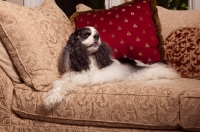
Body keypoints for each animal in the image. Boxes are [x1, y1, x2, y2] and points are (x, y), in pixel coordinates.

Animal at [43, 26, 180, 110]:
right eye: (87, 34)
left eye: (97, 34)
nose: (97, 37)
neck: (88, 58)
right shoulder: (70, 76)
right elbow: (59, 85)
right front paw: (51, 96)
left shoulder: (85, 78)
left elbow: (66, 86)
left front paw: (52, 99)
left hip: (138, 71)